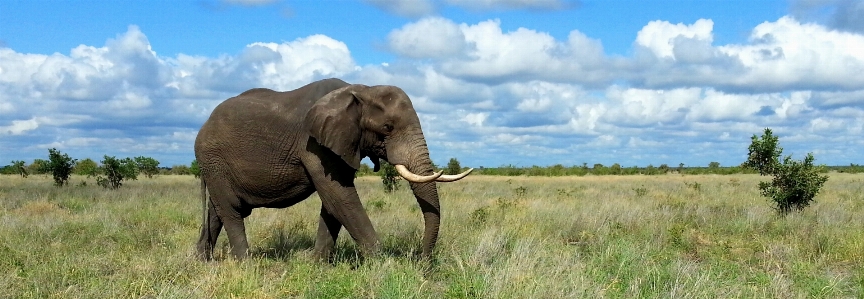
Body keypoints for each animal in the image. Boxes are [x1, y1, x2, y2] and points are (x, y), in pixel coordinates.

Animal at [194, 78, 472, 262]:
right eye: (388, 127)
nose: (422, 262)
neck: (361, 90)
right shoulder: (313, 143)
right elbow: (339, 195)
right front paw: (383, 265)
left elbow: (334, 201)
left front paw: (316, 264)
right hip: (213, 159)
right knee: (231, 210)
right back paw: (246, 264)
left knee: (217, 211)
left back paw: (201, 261)